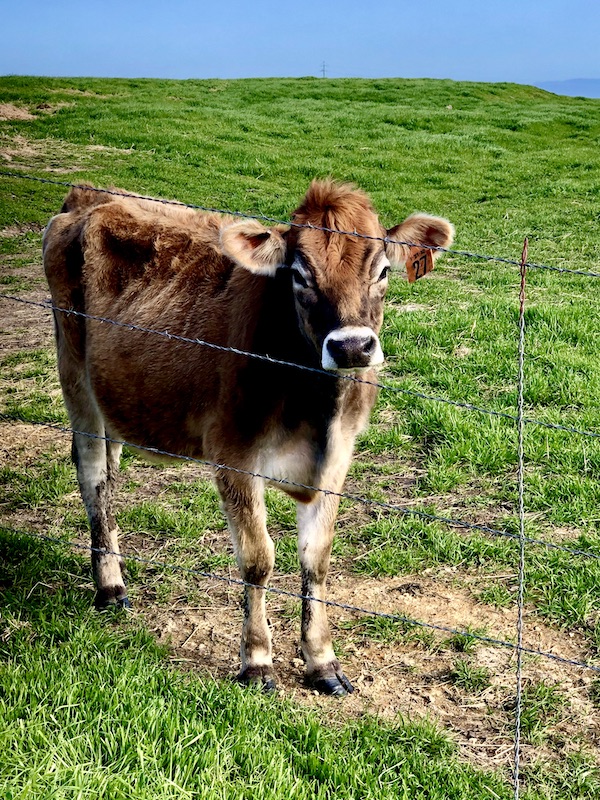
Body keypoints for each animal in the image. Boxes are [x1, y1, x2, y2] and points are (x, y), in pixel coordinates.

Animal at [43, 180, 453, 695]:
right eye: (299, 275)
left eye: (382, 270)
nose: (352, 347)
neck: (315, 406)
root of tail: (89, 193)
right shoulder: (233, 453)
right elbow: (259, 559)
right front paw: (257, 661)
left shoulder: (339, 457)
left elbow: (316, 559)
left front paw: (322, 661)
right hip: (75, 376)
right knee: (93, 475)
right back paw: (110, 588)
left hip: (116, 390)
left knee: (111, 479)